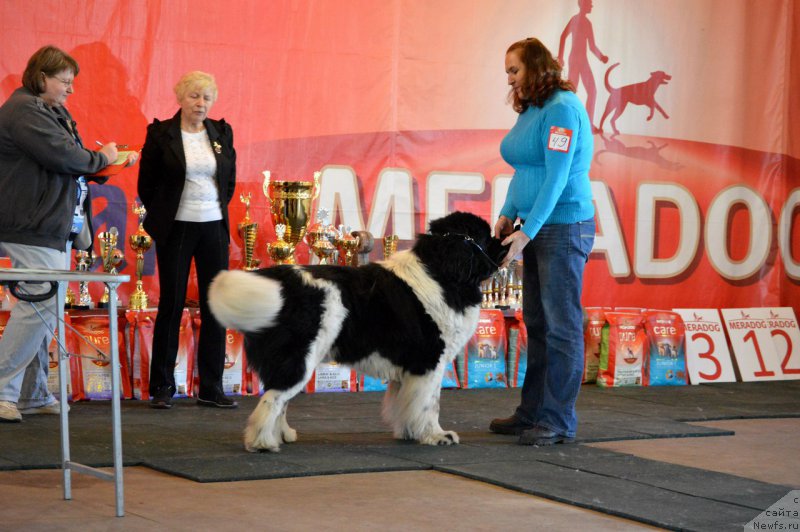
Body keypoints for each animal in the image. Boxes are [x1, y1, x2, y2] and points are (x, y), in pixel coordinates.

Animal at [206, 210, 506, 450]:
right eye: (485, 236)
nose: (505, 237)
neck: (442, 271)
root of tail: (280, 283)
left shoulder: (410, 369)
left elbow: (405, 402)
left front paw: (409, 432)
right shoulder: (430, 362)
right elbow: (429, 403)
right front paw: (436, 436)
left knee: (280, 399)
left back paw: (282, 434)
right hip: (300, 357)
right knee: (273, 399)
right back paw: (262, 442)